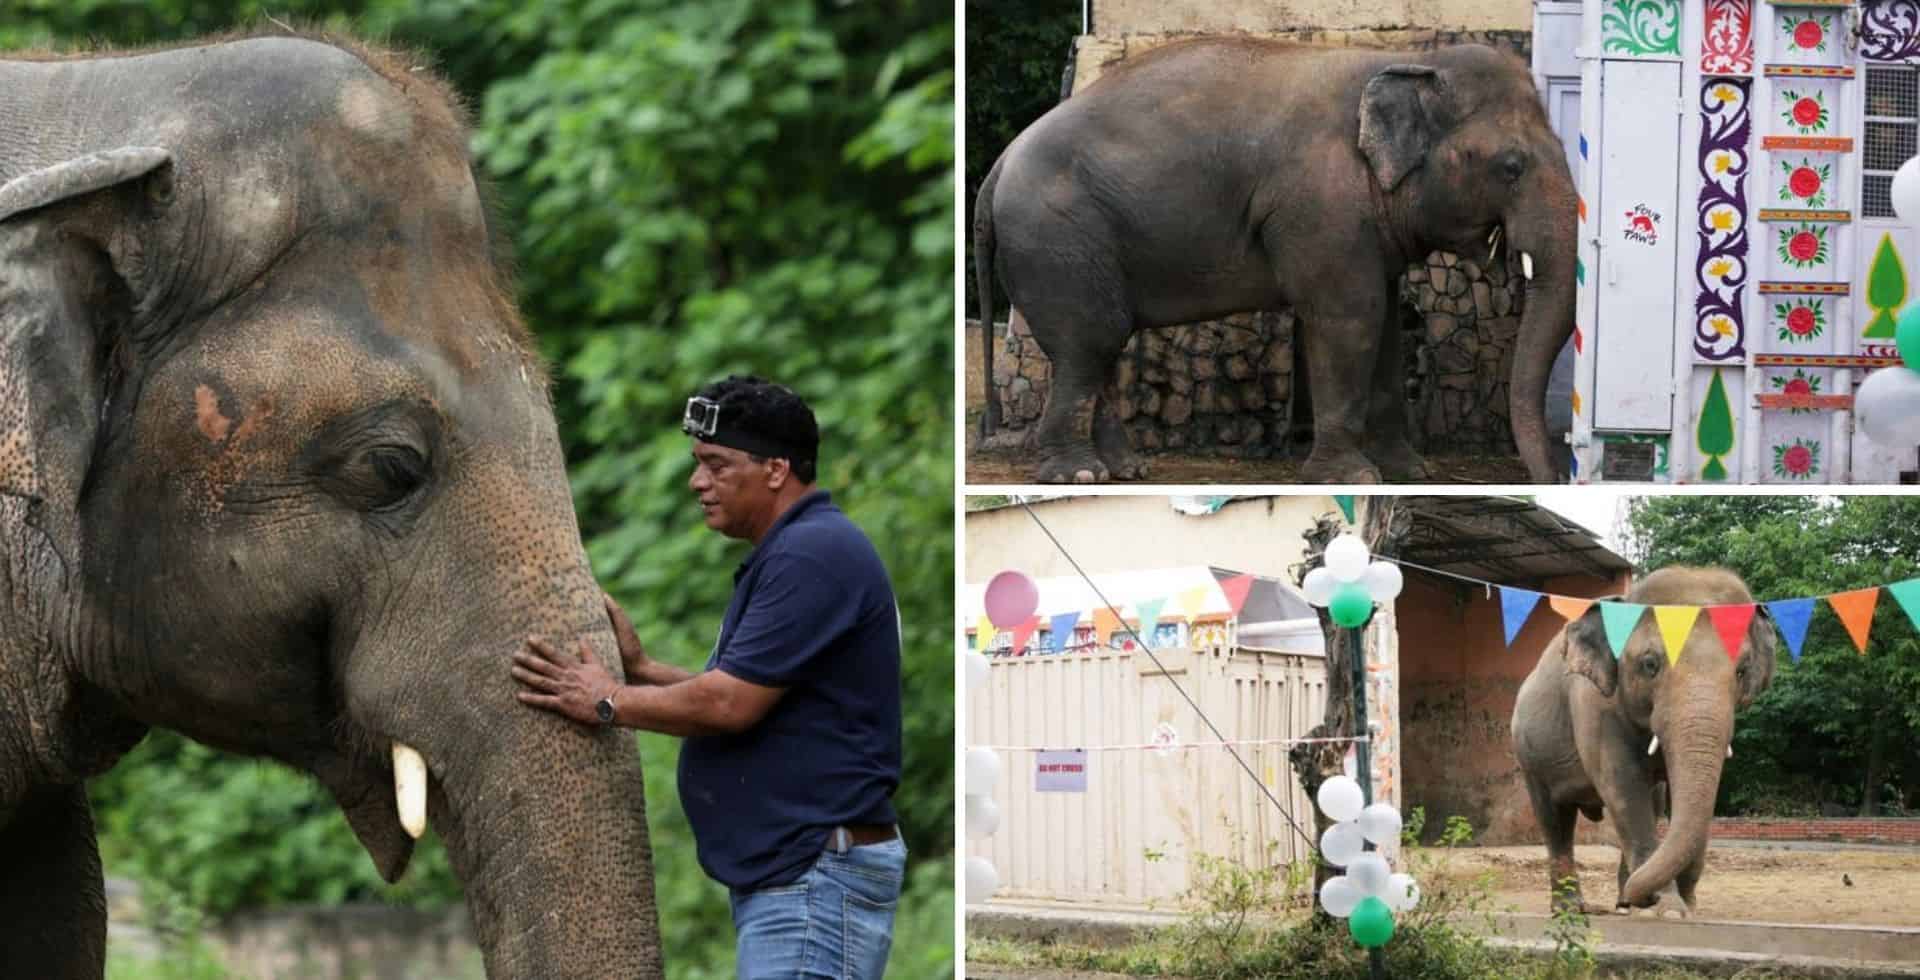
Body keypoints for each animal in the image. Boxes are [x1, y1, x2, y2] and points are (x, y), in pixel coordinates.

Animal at [975, 40, 1574, 484]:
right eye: (1511, 166)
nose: (1552, 478)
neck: (1408, 59)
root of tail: (998, 165)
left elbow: (1383, 322)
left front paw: (1409, 472)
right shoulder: (1319, 204)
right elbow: (1349, 315)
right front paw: (1352, 478)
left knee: (1100, 343)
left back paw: (1125, 470)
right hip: (1057, 237)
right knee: (1090, 341)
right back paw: (1077, 475)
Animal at [1505, 568, 1774, 914]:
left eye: (1741, 671)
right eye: (1650, 664)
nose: (1640, 898)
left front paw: (1677, 905)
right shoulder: (1592, 703)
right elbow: (1623, 784)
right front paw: (1669, 909)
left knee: (1652, 802)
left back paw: (1619, 902)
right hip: (1529, 756)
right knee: (1555, 819)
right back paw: (1570, 909)